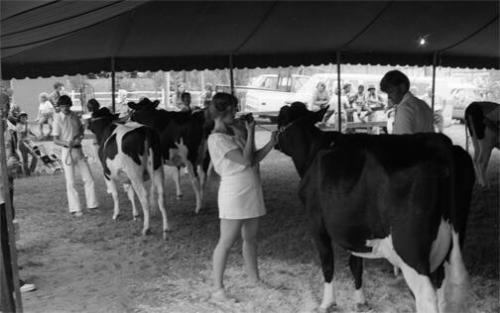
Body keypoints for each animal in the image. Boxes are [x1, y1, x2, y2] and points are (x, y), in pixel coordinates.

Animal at [88, 107, 170, 236]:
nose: (87, 123)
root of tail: (145, 130)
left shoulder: (107, 174)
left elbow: (115, 194)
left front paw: (116, 214)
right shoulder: (126, 177)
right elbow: (131, 194)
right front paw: (135, 215)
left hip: (135, 173)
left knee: (144, 196)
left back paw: (146, 228)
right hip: (157, 169)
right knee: (162, 196)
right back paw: (166, 228)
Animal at [276, 103, 474, 312]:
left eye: (281, 116)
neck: (314, 151)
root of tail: (442, 143)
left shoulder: (316, 223)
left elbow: (328, 264)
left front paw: (327, 303)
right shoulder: (355, 230)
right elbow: (356, 264)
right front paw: (360, 300)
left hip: (410, 251)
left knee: (426, 296)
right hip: (450, 243)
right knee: (442, 286)